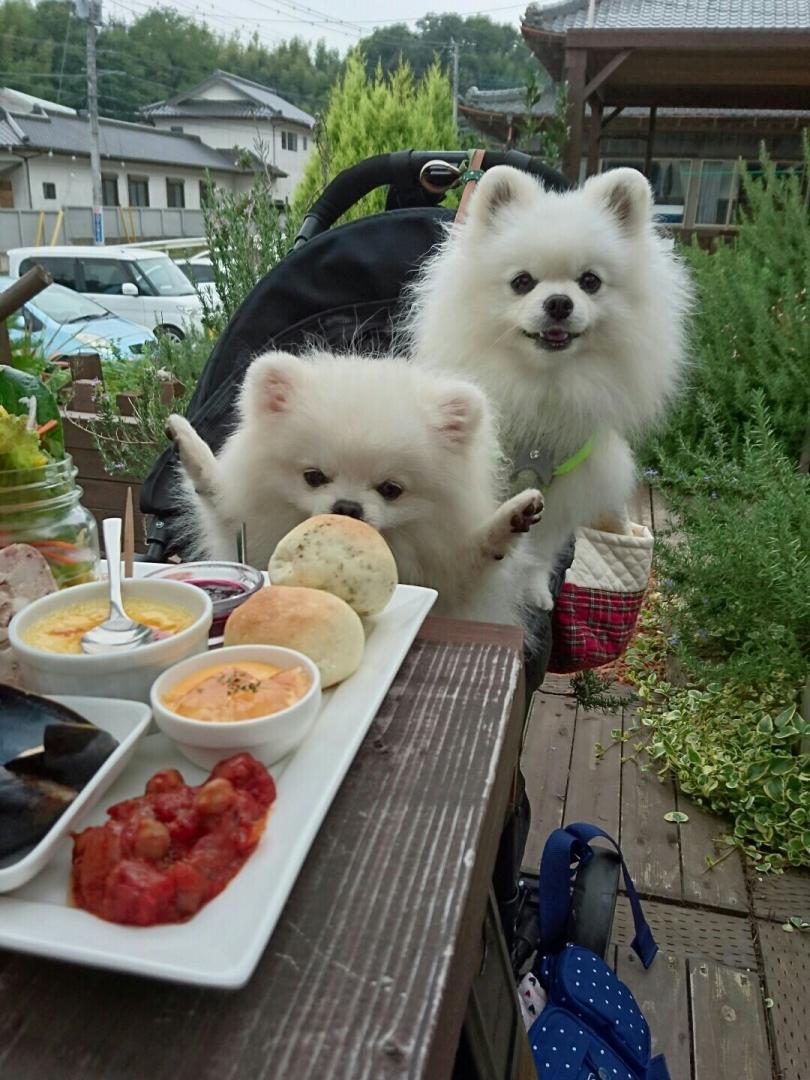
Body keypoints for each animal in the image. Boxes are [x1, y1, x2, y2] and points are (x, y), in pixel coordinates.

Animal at [165, 352, 546, 626]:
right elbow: (220, 505)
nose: (348, 506)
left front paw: (513, 517)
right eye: (314, 477)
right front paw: (188, 443)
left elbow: (478, 556)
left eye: (391, 489)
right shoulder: (247, 537)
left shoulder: (451, 584)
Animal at [408, 165, 695, 613]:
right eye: (522, 282)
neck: (546, 385)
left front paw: (533, 591)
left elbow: (540, 547)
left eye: (590, 281)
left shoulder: (565, 486)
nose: (559, 302)